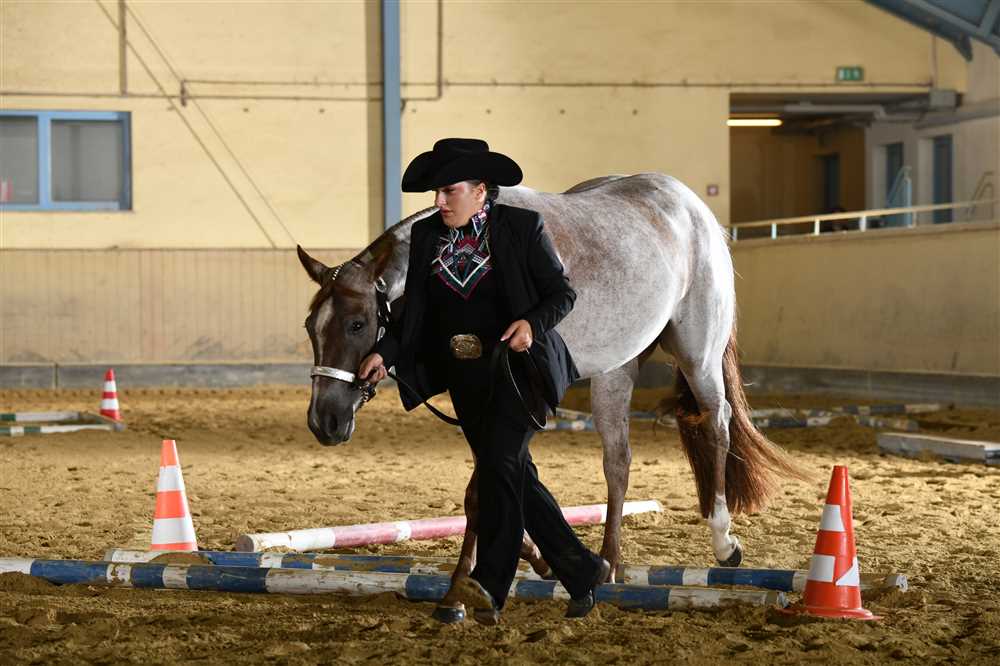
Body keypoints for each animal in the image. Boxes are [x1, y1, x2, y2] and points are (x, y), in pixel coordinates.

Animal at [297, 172, 799, 620]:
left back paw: (723, 542)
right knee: (618, 460)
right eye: (310, 326)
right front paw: (539, 560)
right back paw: (610, 562)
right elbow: (503, 484)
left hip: (699, 355)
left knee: (717, 422)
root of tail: (693, 207)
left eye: (357, 323)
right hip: (616, 370)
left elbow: (484, 490)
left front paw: (459, 589)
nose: (324, 421)